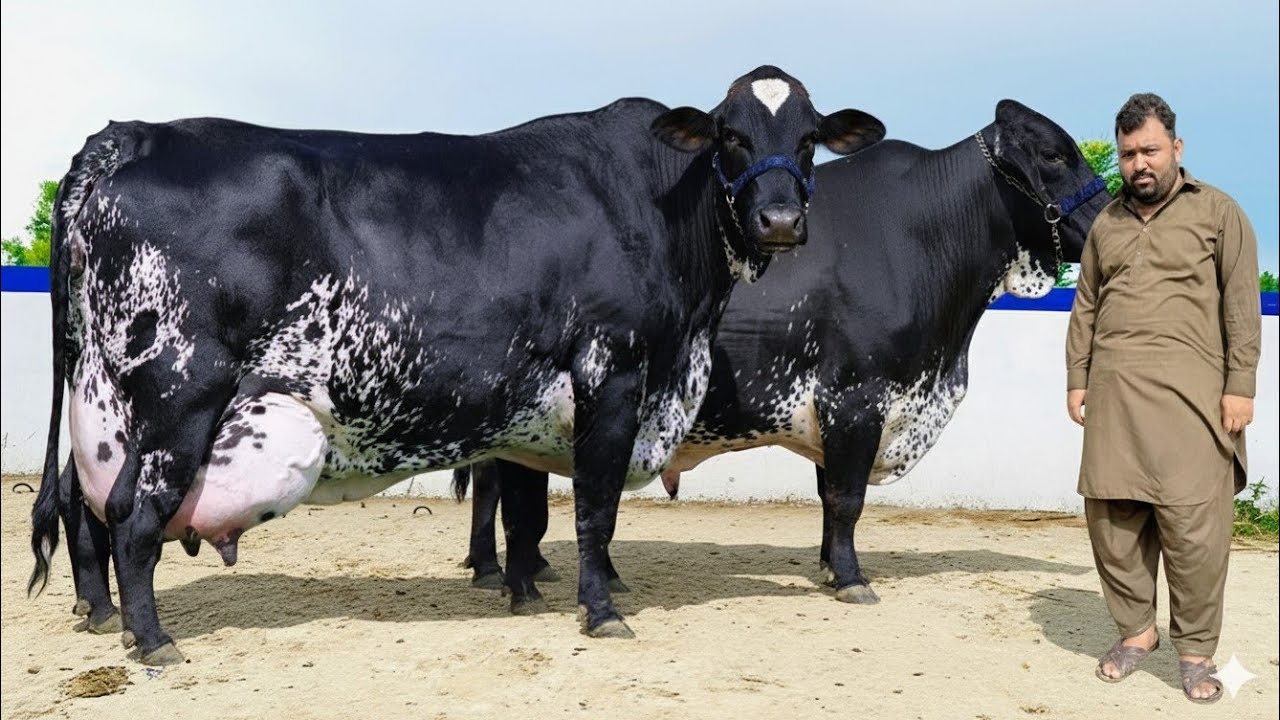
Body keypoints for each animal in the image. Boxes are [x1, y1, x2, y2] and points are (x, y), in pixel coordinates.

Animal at [27, 66, 886, 665]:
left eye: (807, 138)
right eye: (730, 135)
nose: (780, 218)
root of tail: (133, 134)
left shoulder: (534, 405)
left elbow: (529, 511)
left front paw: (524, 591)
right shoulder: (613, 374)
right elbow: (595, 509)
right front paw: (601, 611)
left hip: (108, 405)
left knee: (89, 504)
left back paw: (111, 618)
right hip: (178, 396)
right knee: (131, 517)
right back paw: (151, 640)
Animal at [454, 99, 1110, 610]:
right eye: (1054, 154)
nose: (1110, 213)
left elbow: (828, 496)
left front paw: (827, 566)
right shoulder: (856, 398)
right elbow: (847, 499)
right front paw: (851, 579)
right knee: (512, 494)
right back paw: (513, 579)